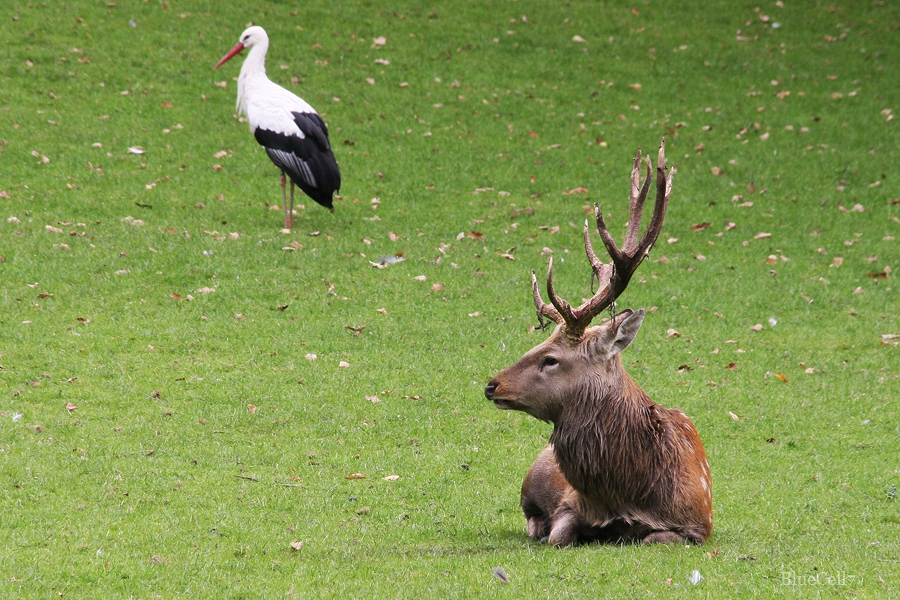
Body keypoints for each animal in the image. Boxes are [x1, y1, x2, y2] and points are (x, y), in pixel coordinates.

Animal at [486, 141, 712, 548]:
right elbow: (558, 536)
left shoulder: (698, 524)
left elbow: (654, 537)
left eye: (551, 359)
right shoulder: (571, 503)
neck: (630, 494)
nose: (492, 385)